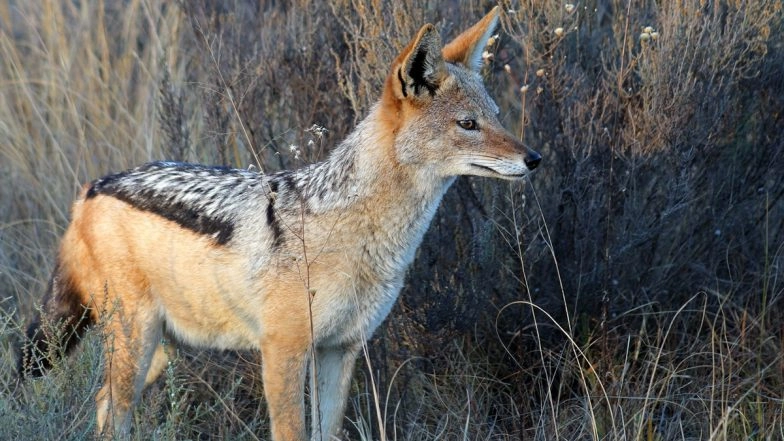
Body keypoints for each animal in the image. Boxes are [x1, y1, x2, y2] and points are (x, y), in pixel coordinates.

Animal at [19, 6, 540, 440]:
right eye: (468, 125)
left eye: (496, 117)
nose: (534, 159)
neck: (365, 238)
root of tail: (93, 186)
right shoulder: (283, 353)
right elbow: (292, 432)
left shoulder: (341, 350)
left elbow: (328, 431)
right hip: (135, 343)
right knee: (111, 414)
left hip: (157, 354)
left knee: (102, 405)